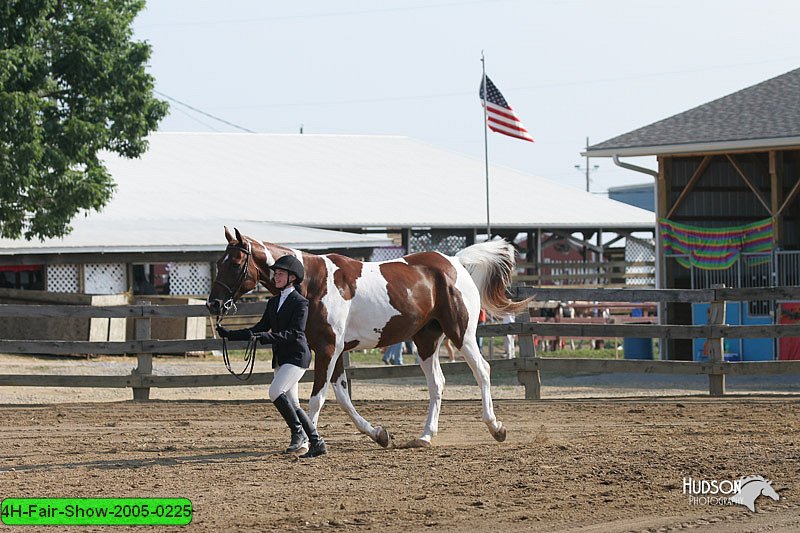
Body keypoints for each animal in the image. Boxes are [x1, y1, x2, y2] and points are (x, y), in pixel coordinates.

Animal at [206, 227, 532, 446]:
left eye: (234, 263)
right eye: (219, 262)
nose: (213, 304)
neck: (312, 282)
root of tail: (454, 262)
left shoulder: (327, 349)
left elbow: (317, 398)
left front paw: (310, 442)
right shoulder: (326, 350)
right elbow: (336, 396)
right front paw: (378, 434)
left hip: (461, 333)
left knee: (482, 371)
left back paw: (495, 427)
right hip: (426, 340)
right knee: (437, 383)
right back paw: (425, 436)